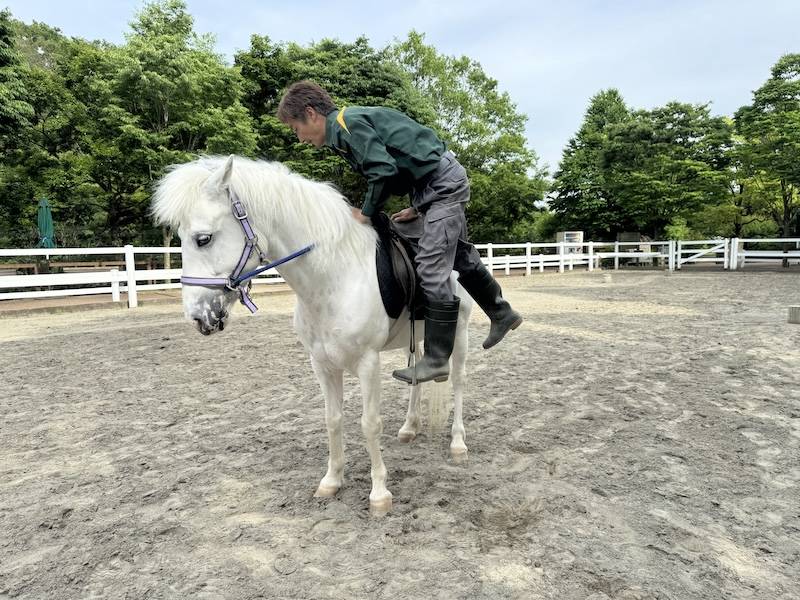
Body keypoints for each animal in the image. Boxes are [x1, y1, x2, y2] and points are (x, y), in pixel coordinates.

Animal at [152, 155, 473, 514]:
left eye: (203, 239)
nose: (198, 316)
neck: (334, 276)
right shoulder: (321, 363)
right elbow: (333, 420)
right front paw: (331, 481)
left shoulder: (368, 363)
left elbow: (369, 423)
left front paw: (379, 493)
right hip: (415, 340)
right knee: (417, 376)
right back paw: (409, 428)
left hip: (460, 333)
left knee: (458, 381)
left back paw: (458, 444)